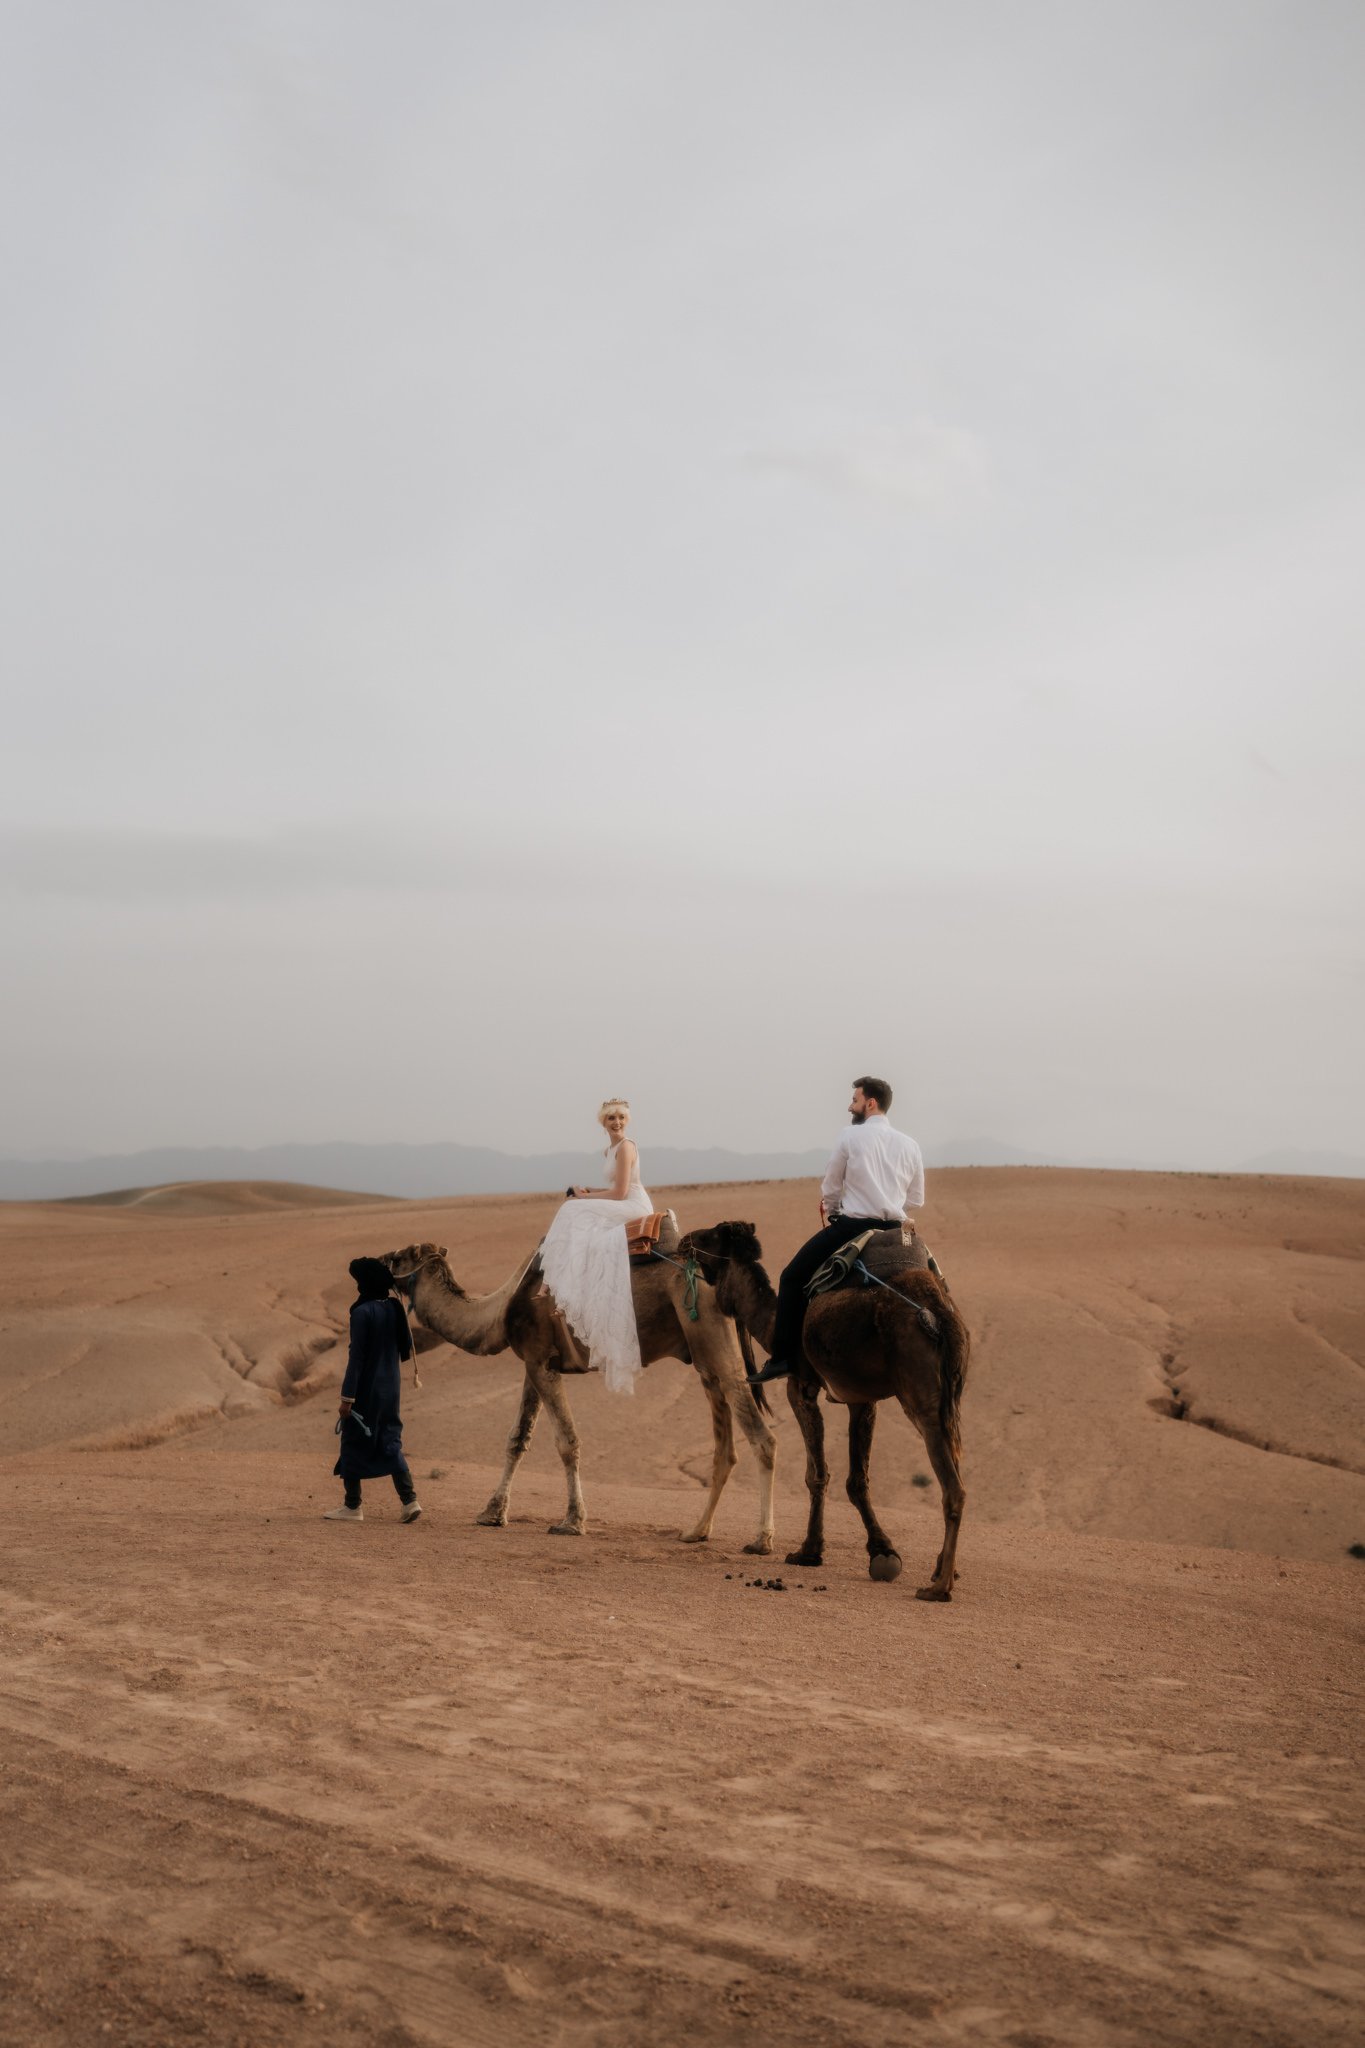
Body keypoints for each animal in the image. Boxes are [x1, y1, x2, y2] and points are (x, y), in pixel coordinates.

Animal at [378, 1228, 777, 1548]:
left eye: (398, 1258)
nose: (375, 1260)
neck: (500, 1308)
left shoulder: (540, 1359)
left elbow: (567, 1442)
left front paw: (571, 1521)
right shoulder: (536, 1362)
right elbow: (518, 1438)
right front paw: (491, 1513)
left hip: (709, 1332)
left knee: (762, 1436)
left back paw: (761, 1539)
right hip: (703, 1356)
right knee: (726, 1446)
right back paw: (697, 1531)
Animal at [679, 1212, 965, 1597]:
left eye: (710, 1235)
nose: (683, 1241)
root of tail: (936, 1311)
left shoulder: (800, 1385)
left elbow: (816, 1474)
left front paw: (808, 1551)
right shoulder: (861, 1399)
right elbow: (857, 1479)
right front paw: (882, 1552)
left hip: (920, 1397)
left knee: (953, 1488)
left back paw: (939, 1587)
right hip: (949, 1399)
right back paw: (942, 1571)